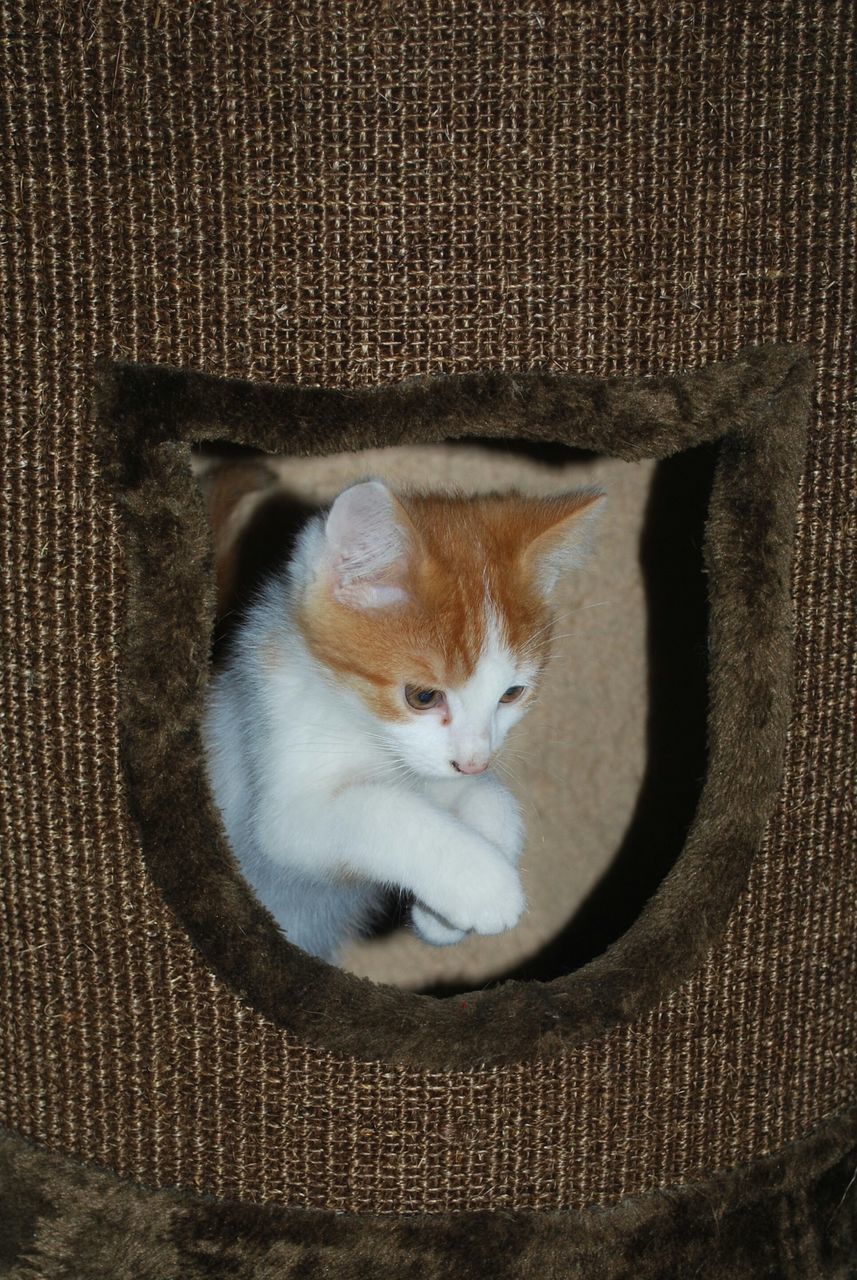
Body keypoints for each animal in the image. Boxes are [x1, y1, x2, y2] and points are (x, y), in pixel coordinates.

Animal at [202, 481, 603, 962]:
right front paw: (485, 884)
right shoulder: (276, 799)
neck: (359, 722)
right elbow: (381, 809)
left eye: (511, 694)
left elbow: (492, 797)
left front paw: (442, 918)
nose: (474, 762)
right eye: (423, 697)